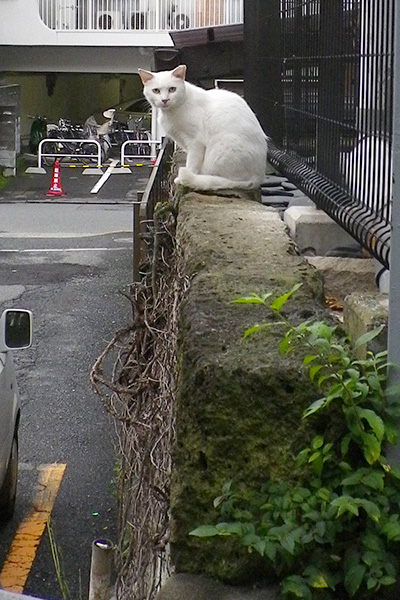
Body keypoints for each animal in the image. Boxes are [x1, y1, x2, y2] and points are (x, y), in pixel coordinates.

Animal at [139, 65, 268, 190]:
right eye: (156, 91)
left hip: (223, 150)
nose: (165, 100)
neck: (171, 113)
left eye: (172, 89)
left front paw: (185, 178)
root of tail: (258, 178)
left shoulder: (195, 142)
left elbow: (192, 163)